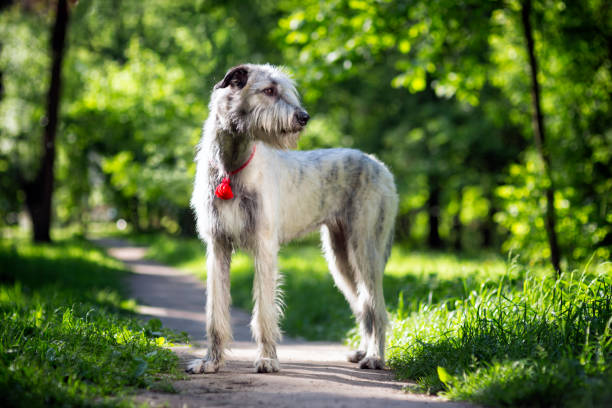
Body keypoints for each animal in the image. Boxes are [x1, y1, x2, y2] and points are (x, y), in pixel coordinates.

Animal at [188, 63, 396, 372]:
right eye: (269, 90)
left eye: (285, 90)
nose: (304, 117)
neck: (232, 166)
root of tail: (381, 166)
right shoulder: (217, 246)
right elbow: (215, 311)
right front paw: (210, 362)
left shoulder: (264, 246)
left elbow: (264, 310)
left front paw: (267, 359)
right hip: (340, 257)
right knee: (364, 307)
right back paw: (363, 351)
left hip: (366, 248)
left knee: (376, 307)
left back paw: (375, 357)